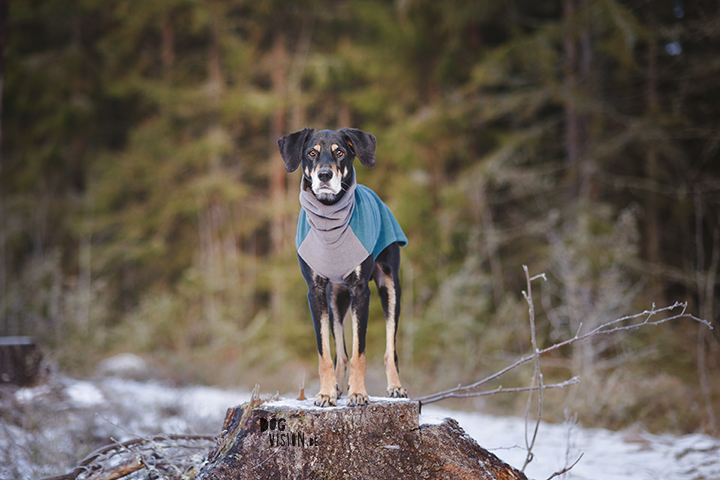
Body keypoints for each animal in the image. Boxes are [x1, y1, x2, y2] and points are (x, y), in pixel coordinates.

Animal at [278, 126, 408, 404]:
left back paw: (395, 387)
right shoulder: (315, 292)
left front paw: (358, 393)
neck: (329, 219)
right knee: (340, 350)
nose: (324, 175)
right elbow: (326, 352)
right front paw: (326, 393)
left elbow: (360, 351)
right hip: (336, 298)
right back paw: (337, 387)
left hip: (390, 286)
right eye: (311, 153)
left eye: (340, 152)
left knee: (390, 347)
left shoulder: (361, 290)